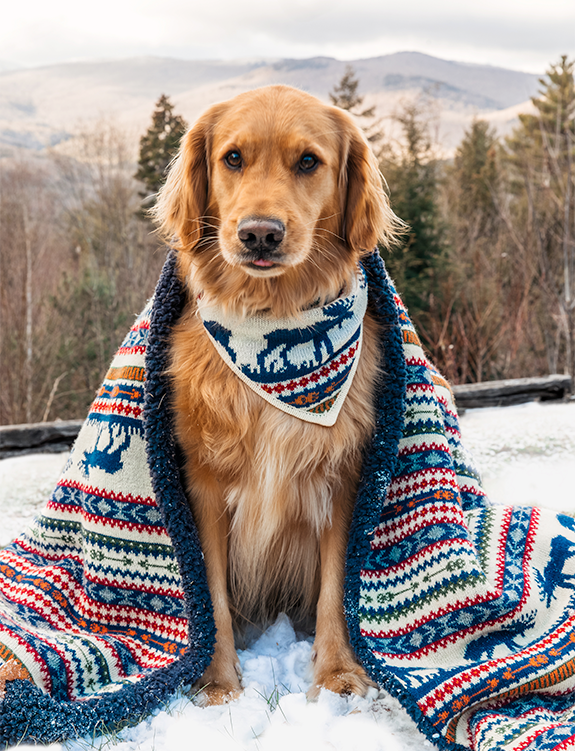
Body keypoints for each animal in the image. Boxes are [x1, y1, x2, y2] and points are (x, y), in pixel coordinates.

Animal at [153, 85, 402, 708]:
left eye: (309, 161)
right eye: (233, 158)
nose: (260, 233)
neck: (270, 313)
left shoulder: (343, 476)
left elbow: (338, 588)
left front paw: (337, 675)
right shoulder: (202, 483)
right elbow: (212, 597)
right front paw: (218, 683)